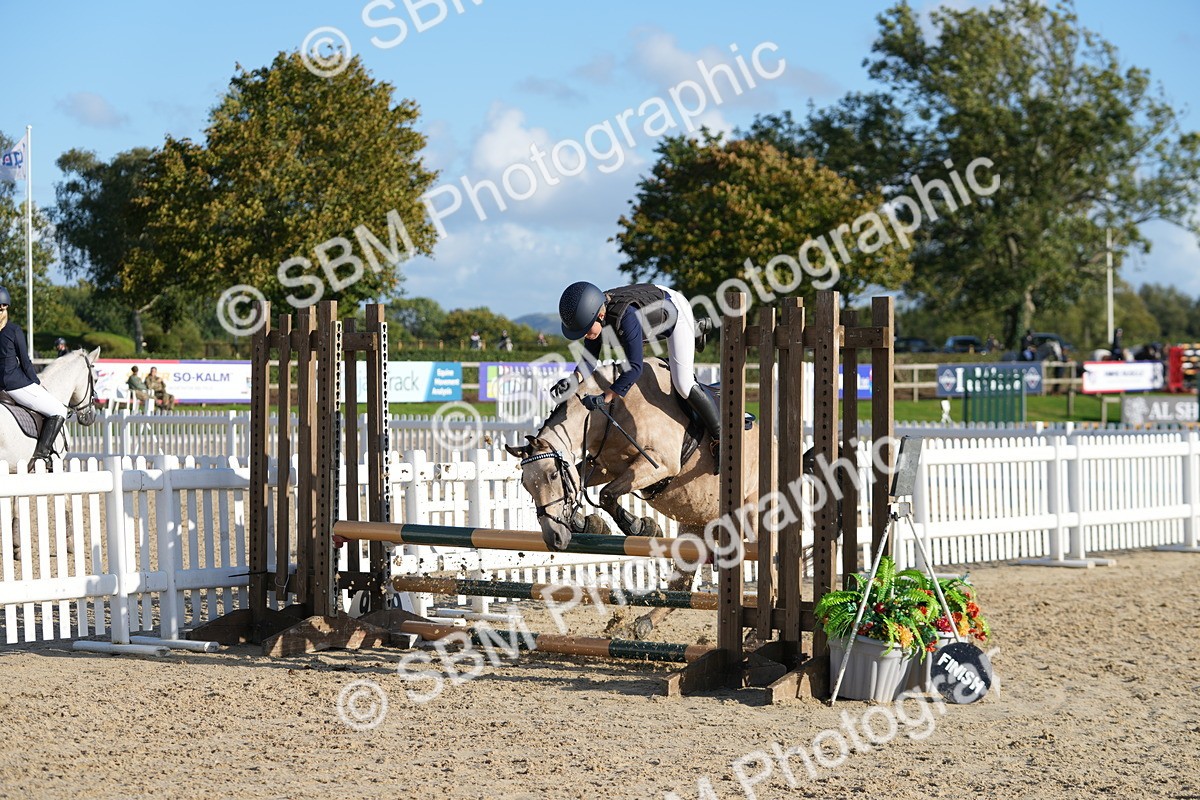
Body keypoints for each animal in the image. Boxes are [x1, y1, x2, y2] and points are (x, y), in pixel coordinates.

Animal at [504, 359, 760, 638]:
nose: (554, 538)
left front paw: (641, 526)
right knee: (681, 585)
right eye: (525, 485)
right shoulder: (605, 467)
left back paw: (754, 633)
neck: (609, 413)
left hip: (754, 516)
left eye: (552, 475)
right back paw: (641, 625)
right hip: (694, 525)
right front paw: (588, 523)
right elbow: (589, 487)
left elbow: (607, 494)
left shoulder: (658, 464)